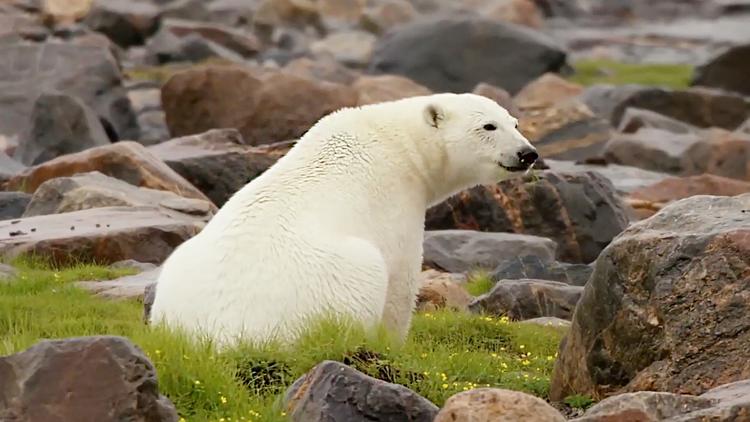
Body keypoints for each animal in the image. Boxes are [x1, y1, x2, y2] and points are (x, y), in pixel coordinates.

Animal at [150, 94, 540, 348]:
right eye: (488, 125)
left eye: (514, 122)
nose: (527, 153)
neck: (398, 146)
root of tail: (214, 339)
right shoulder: (396, 203)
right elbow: (400, 281)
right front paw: (394, 345)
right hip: (330, 281)